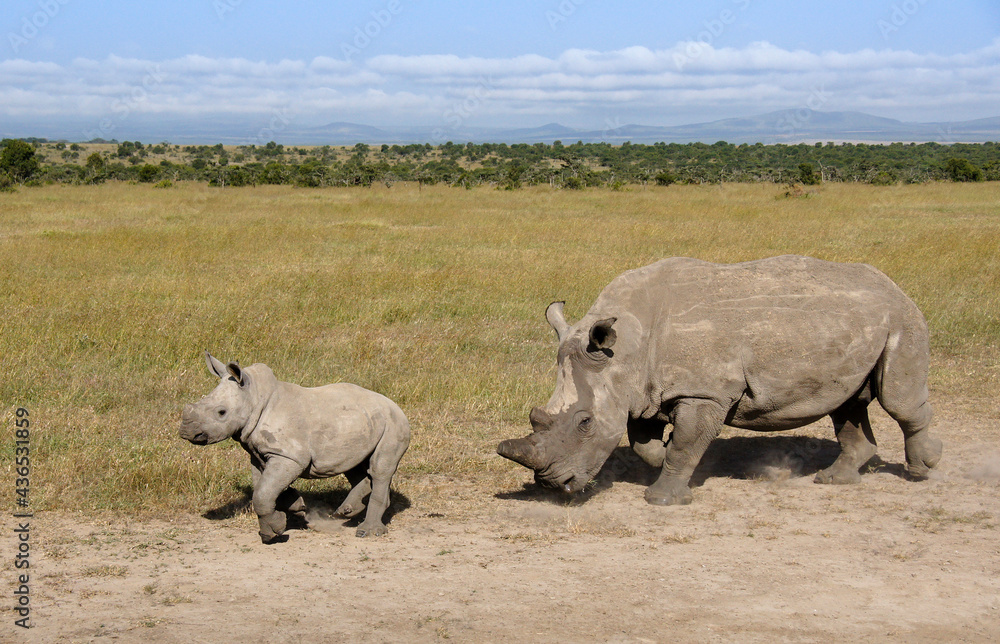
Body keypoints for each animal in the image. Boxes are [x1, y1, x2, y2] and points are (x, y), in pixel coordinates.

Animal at [180, 352, 410, 542]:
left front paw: (272, 533)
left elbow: (262, 493)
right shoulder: (259, 453)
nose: (185, 432)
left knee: (380, 469)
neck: (254, 397)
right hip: (363, 422)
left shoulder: (289, 456)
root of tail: (395, 405)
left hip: (393, 423)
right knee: (354, 465)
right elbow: (263, 488)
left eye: (221, 412)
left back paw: (365, 531)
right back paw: (344, 513)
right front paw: (296, 506)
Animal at [498, 255, 942, 505]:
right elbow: (644, 442)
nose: (552, 486)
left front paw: (662, 500)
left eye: (585, 423)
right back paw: (835, 480)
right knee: (847, 404)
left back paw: (923, 469)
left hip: (902, 318)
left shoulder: (703, 392)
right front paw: (663, 459)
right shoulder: (645, 390)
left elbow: (685, 443)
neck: (626, 350)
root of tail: (892, 284)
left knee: (897, 400)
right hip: (850, 325)